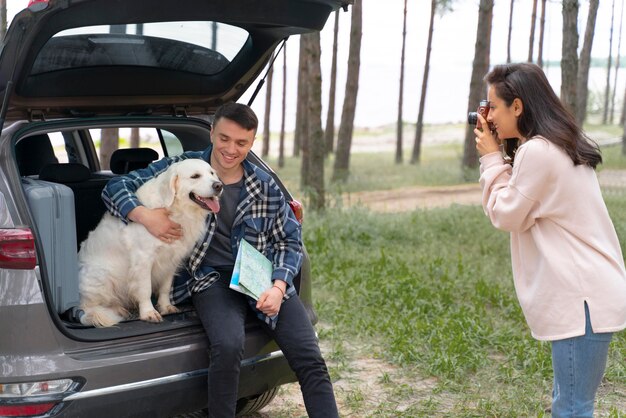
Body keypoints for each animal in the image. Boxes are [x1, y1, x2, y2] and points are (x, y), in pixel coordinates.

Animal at [77, 158, 221, 328]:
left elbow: (166, 287)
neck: (175, 210)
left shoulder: (172, 259)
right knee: (89, 307)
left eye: (212, 173)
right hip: (102, 275)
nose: (219, 185)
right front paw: (148, 313)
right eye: (195, 176)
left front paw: (165, 306)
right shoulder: (143, 258)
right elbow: (145, 288)